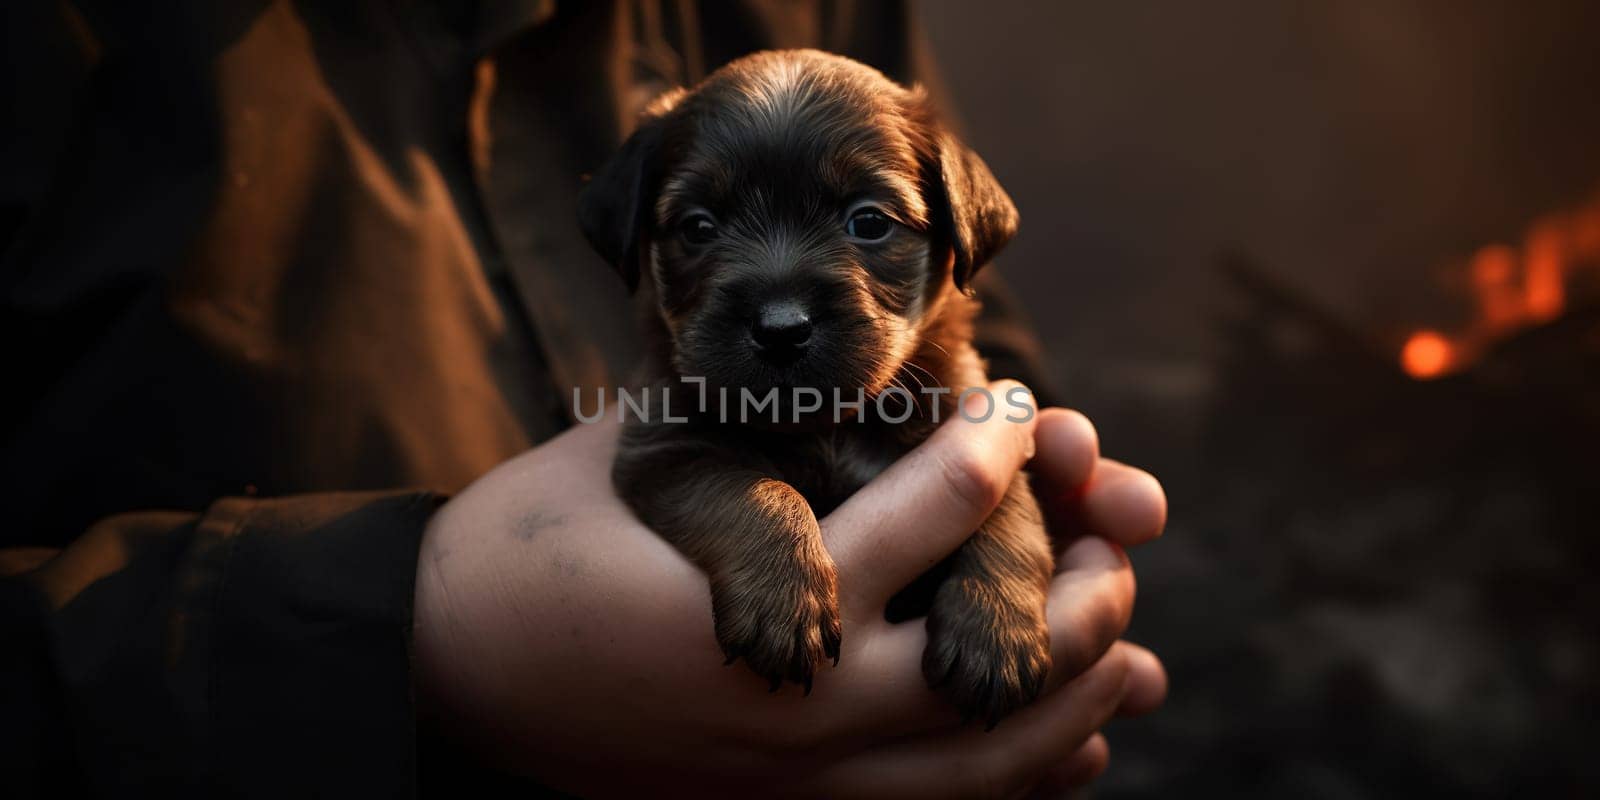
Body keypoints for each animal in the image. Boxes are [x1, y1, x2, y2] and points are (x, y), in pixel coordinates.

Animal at [576, 48, 1049, 726]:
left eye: (869, 222)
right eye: (698, 227)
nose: (780, 327)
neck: (826, 425)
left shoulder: (974, 417)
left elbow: (1008, 511)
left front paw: (997, 628)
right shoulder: (666, 453)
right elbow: (753, 491)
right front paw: (784, 598)